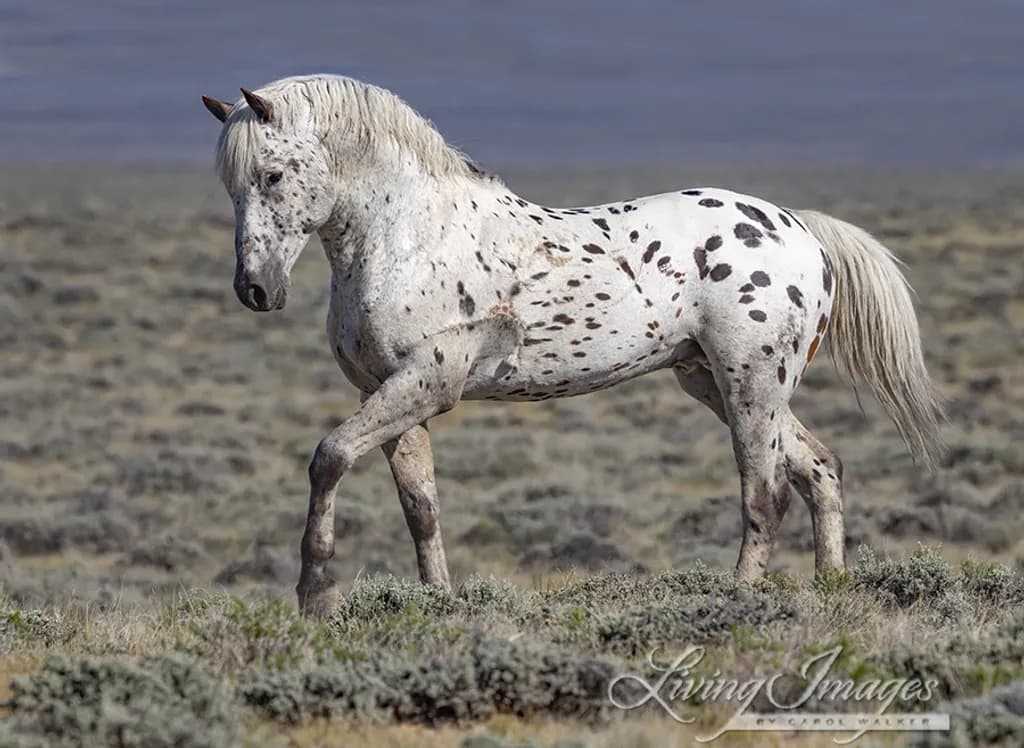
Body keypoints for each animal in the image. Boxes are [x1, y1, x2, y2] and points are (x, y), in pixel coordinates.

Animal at [201, 75, 944, 617]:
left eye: (272, 175)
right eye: (231, 183)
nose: (255, 289)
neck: (408, 238)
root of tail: (802, 231)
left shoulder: (426, 384)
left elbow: (328, 458)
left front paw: (314, 595)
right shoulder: (385, 392)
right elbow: (421, 508)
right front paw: (437, 601)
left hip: (751, 383)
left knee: (765, 493)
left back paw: (736, 601)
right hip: (712, 380)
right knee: (821, 469)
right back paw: (831, 591)